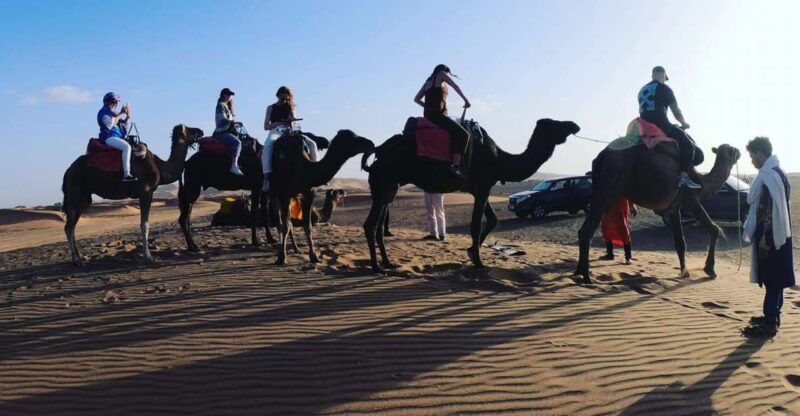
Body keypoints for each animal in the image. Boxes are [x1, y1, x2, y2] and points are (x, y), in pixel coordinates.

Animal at [62, 125, 205, 264]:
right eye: (188, 129)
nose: (201, 131)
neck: (159, 167)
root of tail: (68, 171)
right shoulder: (145, 192)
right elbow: (145, 225)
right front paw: (148, 257)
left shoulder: (148, 193)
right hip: (74, 194)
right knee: (69, 227)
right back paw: (76, 260)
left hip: (83, 199)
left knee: (72, 226)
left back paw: (79, 257)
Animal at [270, 130, 374, 265]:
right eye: (352, 138)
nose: (370, 143)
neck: (302, 167)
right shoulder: (284, 194)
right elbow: (285, 226)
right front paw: (282, 257)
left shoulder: (309, 193)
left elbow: (307, 225)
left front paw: (314, 256)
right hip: (272, 193)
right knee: (280, 222)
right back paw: (280, 248)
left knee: (288, 223)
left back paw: (296, 249)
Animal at [361, 118, 580, 273]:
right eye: (555, 123)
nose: (574, 125)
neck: (500, 160)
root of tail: (378, 154)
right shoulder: (483, 187)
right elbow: (475, 224)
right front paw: (479, 261)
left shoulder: (480, 189)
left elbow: (492, 220)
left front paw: (471, 253)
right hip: (384, 182)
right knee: (370, 224)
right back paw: (376, 267)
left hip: (388, 187)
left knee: (378, 225)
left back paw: (388, 263)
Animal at [575, 142, 741, 284]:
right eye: (732, 150)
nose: (739, 152)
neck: (702, 182)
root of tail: (601, 157)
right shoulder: (691, 201)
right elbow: (714, 229)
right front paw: (709, 270)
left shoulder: (674, 208)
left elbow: (680, 241)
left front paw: (684, 272)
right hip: (607, 189)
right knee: (587, 231)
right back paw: (586, 276)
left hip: (599, 189)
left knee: (583, 230)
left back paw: (578, 272)